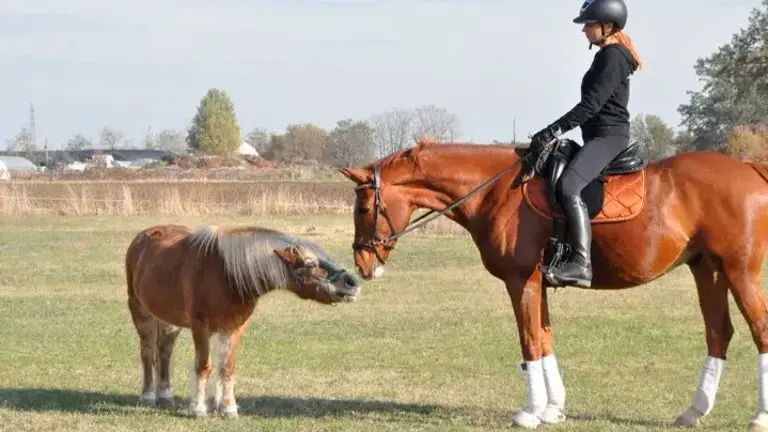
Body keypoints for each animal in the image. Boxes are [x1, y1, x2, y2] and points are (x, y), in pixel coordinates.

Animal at [124, 224, 362, 416]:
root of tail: (143, 237)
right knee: (147, 352)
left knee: (165, 352)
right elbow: (203, 366)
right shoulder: (200, 327)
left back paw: (165, 395)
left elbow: (227, 368)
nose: (352, 283)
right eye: (310, 264)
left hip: (169, 321)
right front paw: (198, 408)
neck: (224, 274)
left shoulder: (234, 328)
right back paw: (148, 395)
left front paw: (227, 408)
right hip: (141, 312)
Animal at [342, 139, 768, 432]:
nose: (363, 264)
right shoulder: (538, 284)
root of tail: (750, 168)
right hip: (707, 270)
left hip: (741, 272)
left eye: (363, 208)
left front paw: (530, 412)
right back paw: (694, 411)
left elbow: (530, 341)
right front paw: (552, 409)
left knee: (759, 332)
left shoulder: (521, 282)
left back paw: (759, 417)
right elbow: (545, 338)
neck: (496, 191)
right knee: (719, 333)